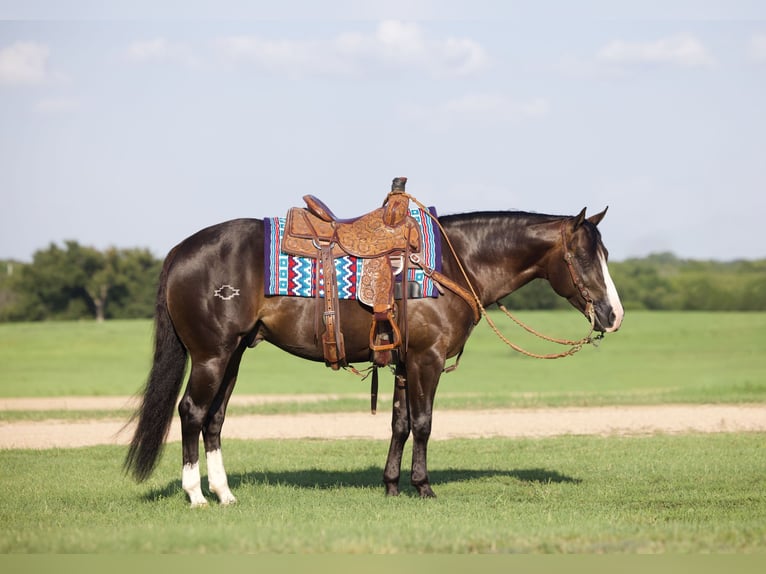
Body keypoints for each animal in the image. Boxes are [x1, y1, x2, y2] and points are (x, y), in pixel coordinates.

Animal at [121, 204, 624, 508]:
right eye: (584, 257)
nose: (614, 314)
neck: (452, 262)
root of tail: (179, 251)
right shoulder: (426, 359)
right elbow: (423, 423)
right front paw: (423, 486)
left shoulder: (402, 362)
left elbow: (399, 423)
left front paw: (391, 484)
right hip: (212, 355)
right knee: (192, 412)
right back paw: (196, 495)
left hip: (234, 355)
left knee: (214, 419)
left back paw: (224, 493)